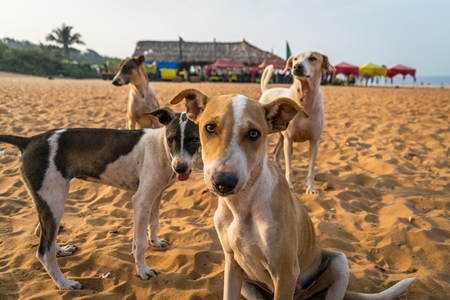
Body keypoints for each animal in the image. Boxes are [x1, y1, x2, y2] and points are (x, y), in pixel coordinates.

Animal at [0, 107, 200, 288]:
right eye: (171, 139)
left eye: (194, 140)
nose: (180, 168)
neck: (162, 148)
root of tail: (29, 140)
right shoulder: (141, 200)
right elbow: (140, 243)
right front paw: (143, 271)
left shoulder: (157, 194)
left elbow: (154, 222)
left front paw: (156, 242)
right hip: (54, 201)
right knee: (43, 252)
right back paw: (65, 284)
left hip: (49, 201)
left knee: (39, 232)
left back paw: (61, 251)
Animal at [260, 50, 334, 193]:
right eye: (295, 59)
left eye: (313, 58)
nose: (296, 66)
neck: (304, 98)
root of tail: (267, 90)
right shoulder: (289, 140)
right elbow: (290, 168)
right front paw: (289, 185)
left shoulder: (314, 142)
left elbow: (311, 168)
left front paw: (311, 188)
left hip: (281, 135)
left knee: (275, 152)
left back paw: (279, 167)